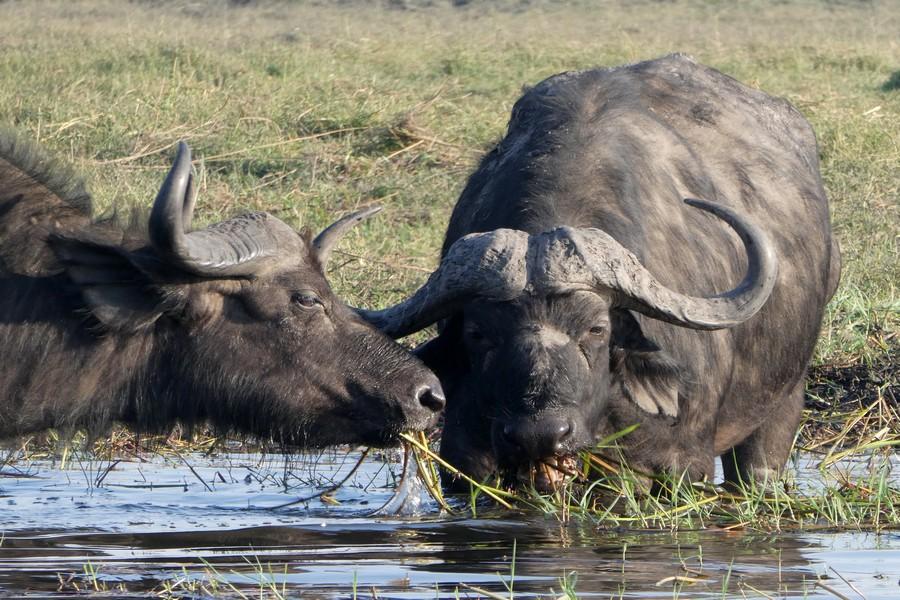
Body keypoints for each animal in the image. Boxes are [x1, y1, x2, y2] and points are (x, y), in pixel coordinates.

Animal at [362, 54, 840, 490]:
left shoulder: (681, 462)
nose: (540, 434)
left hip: (784, 399)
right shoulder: (465, 459)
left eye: (596, 329)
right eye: (478, 334)